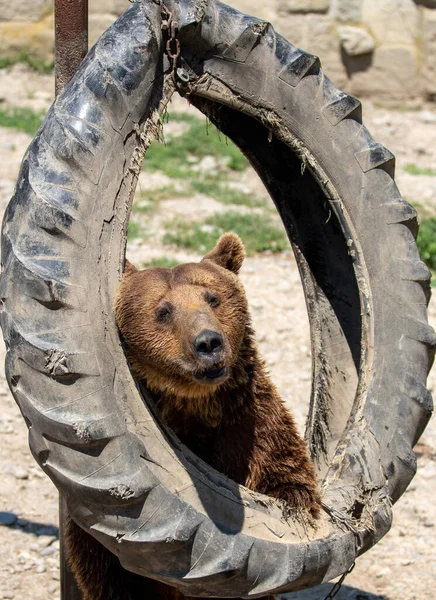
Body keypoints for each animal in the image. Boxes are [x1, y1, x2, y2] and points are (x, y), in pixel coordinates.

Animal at [66, 232, 322, 596]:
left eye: (213, 298)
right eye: (163, 310)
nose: (208, 343)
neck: (196, 406)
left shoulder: (251, 425)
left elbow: (285, 478)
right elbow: (117, 572)